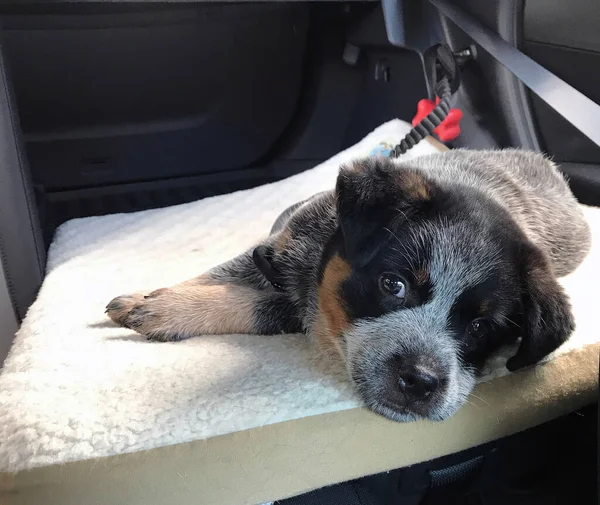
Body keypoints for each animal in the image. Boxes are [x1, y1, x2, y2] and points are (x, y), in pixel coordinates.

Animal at [106, 150, 592, 422]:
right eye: (393, 285)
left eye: (481, 328)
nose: (421, 381)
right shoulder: (277, 249)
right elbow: (224, 274)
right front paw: (152, 302)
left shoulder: (294, 305)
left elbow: (257, 305)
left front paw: (160, 310)